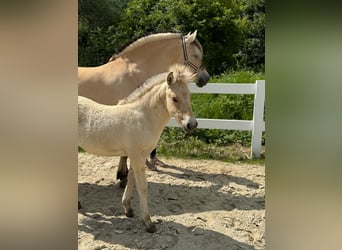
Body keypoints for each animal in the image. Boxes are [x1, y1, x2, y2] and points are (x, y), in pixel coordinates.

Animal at [76, 64, 196, 232]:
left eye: (189, 96)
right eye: (174, 98)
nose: (192, 124)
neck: (143, 117)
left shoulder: (137, 155)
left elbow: (131, 180)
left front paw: (128, 209)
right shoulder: (136, 155)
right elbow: (142, 187)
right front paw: (148, 222)